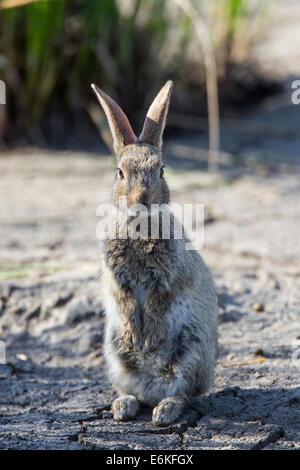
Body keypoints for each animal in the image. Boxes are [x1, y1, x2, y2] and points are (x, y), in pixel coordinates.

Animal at [90, 80, 217, 426]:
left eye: (161, 170)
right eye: (120, 172)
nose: (142, 198)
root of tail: (152, 390)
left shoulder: (170, 274)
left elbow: (159, 301)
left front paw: (148, 340)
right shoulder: (115, 276)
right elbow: (125, 300)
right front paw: (137, 337)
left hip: (191, 351)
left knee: (184, 393)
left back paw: (164, 411)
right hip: (114, 355)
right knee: (131, 389)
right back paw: (125, 407)